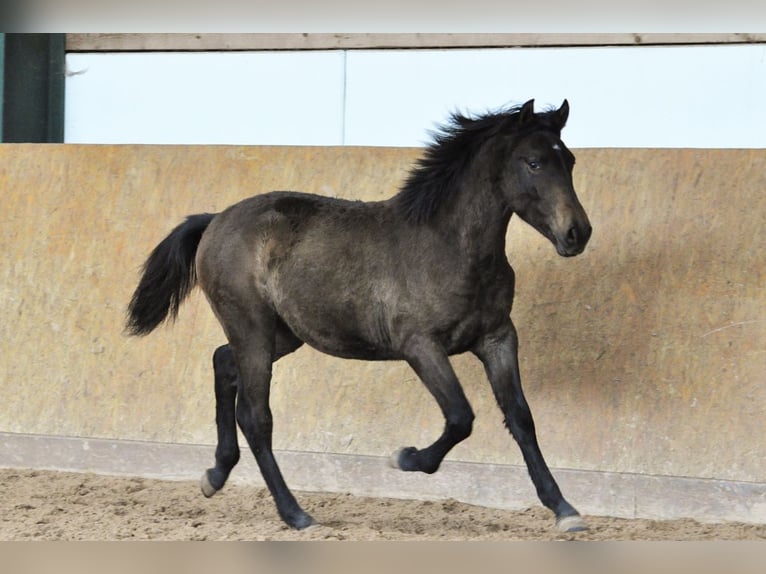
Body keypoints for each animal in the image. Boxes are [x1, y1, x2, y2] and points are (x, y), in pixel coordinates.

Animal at [126, 99, 592, 536]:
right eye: (533, 162)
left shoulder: (497, 338)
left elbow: (520, 417)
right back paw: (295, 513)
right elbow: (461, 417)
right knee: (256, 417)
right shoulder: (420, 345)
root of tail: (215, 221)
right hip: (252, 330)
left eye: (568, 160)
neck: (449, 246)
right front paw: (406, 458)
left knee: (223, 363)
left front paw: (564, 509)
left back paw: (216, 474)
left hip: (281, 335)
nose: (577, 234)